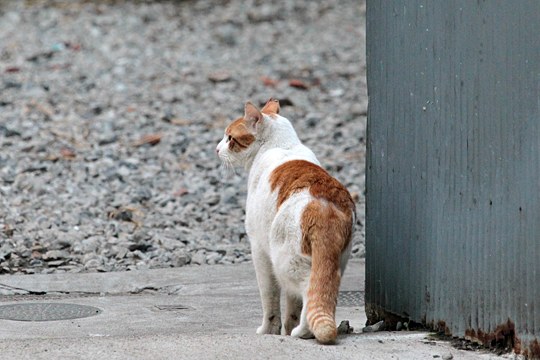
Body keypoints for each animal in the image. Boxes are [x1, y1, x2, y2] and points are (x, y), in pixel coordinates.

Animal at [215, 99, 354, 346]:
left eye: (229, 137)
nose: (216, 148)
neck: (282, 145)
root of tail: (322, 207)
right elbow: (291, 306)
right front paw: (287, 329)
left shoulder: (259, 250)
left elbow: (269, 299)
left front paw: (269, 330)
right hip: (336, 262)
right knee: (322, 293)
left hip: (285, 261)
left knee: (309, 291)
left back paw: (303, 332)